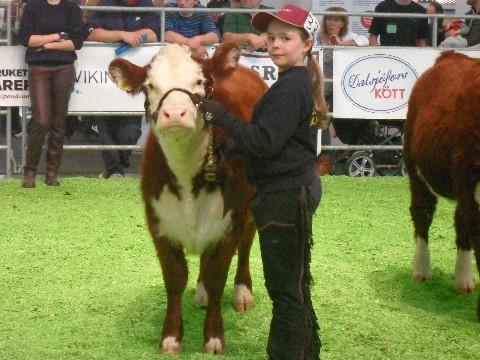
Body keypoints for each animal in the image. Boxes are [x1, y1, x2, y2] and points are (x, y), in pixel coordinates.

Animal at [107, 43, 268, 354]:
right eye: (149, 86)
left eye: (200, 82)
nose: (175, 113)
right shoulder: (158, 222)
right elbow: (175, 279)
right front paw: (170, 338)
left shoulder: (230, 222)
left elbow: (219, 276)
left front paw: (214, 338)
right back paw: (201, 291)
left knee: (246, 245)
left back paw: (242, 293)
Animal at [404, 50, 480, 318]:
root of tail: (452, 56)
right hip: (416, 166)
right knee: (422, 213)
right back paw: (421, 269)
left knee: (461, 224)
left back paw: (463, 280)